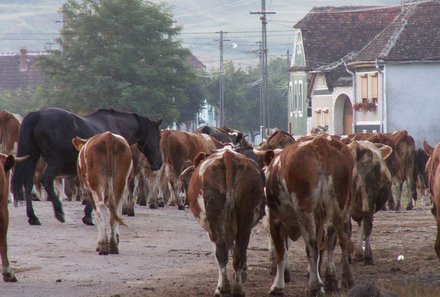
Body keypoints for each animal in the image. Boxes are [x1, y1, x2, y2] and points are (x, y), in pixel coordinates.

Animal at [12, 106, 162, 224]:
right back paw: (59, 212)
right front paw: (88, 216)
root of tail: (38, 114)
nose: (159, 163)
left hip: (32, 157)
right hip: (55, 161)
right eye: (159, 136)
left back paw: (33, 217)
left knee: (28, 183)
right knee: (46, 180)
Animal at [186, 149, 264, 294]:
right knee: (239, 249)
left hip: (215, 219)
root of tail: (228, 154)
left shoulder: (210, 231)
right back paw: (238, 288)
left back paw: (223, 288)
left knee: (221, 250)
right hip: (246, 216)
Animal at [264, 135, 354, 294]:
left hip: (304, 211)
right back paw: (345, 279)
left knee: (312, 245)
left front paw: (278, 286)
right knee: (342, 238)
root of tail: (319, 144)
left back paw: (313, 287)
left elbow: (281, 252)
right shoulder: (319, 218)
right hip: (340, 207)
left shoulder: (275, 219)